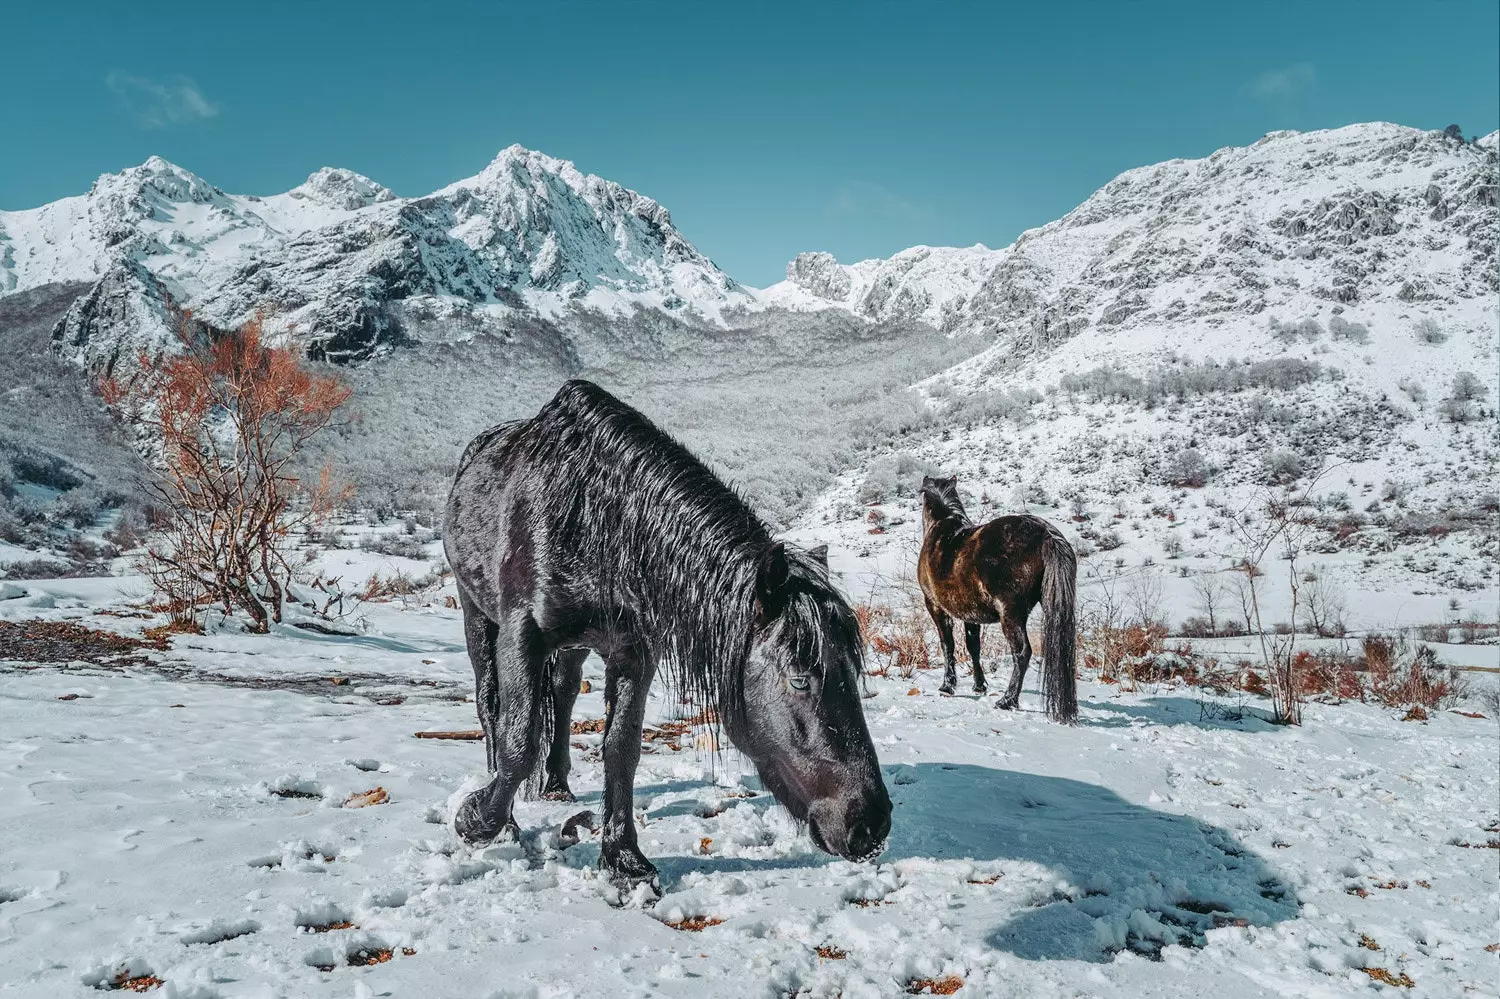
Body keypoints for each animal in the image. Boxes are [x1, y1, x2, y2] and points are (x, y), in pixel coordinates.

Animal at [441, 378, 888, 888]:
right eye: (798, 678)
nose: (871, 823)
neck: (596, 515)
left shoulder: (634, 651)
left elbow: (621, 749)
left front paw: (624, 860)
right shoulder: (522, 635)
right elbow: (517, 741)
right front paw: (476, 821)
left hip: (573, 647)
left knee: (563, 690)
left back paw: (556, 784)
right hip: (476, 613)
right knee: (490, 703)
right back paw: (505, 816)